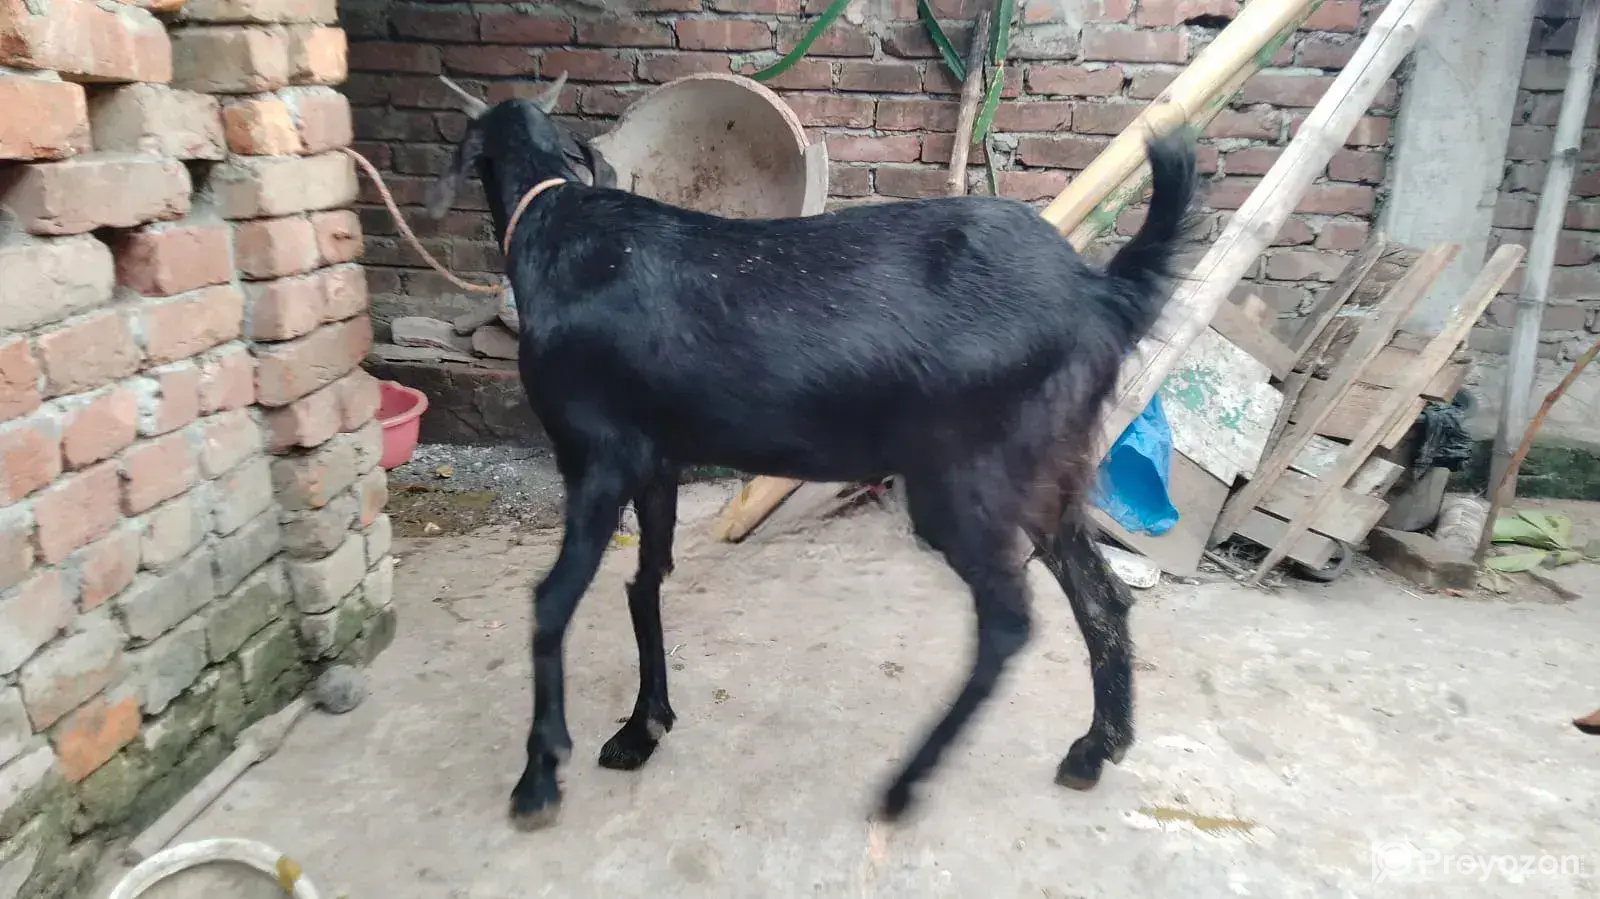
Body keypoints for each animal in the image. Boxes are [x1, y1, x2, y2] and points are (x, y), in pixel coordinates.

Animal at [424, 75, 1200, 831]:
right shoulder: (658, 458)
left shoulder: (595, 455)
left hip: (963, 477)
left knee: (1008, 621)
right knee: (1102, 594)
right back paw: (1097, 747)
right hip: (1043, 468)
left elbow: (552, 601)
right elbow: (645, 582)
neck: (557, 228)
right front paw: (643, 726)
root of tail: (1097, 292)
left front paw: (539, 773)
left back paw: (906, 783)